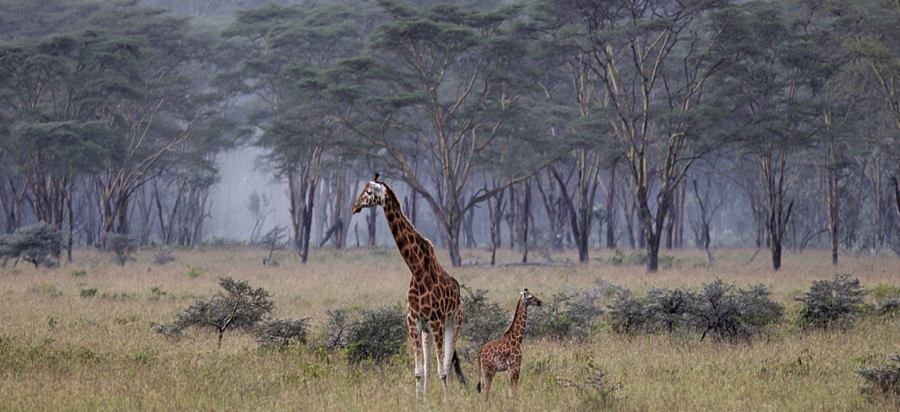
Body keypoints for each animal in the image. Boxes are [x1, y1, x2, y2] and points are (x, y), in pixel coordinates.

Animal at [350, 175, 468, 400]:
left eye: (369, 192)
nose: (354, 207)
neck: (417, 269)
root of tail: (458, 289)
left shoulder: (437, 322)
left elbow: (442, 370)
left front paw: (446, 401)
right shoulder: (414, 322)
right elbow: (419, 371)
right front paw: (419, 401)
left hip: (454, 322)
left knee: (447, 365)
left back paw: (447, 396)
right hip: (428, 332)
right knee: (431, 366)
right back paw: (429, 396)